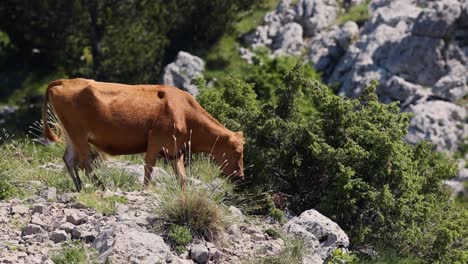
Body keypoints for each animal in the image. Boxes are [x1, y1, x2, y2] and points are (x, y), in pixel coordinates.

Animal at [42, 77, 245, 191]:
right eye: (238, 152)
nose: (241, 177)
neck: (185, 113)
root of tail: (65, 81)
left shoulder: (175, 150)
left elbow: (182, 177)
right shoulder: (155, 141)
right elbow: (149, 168)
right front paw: (146, 189)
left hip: (71, 133)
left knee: (69, 159)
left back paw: (79, 187)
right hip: (79, 134)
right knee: (84, 162)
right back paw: (100, 185)